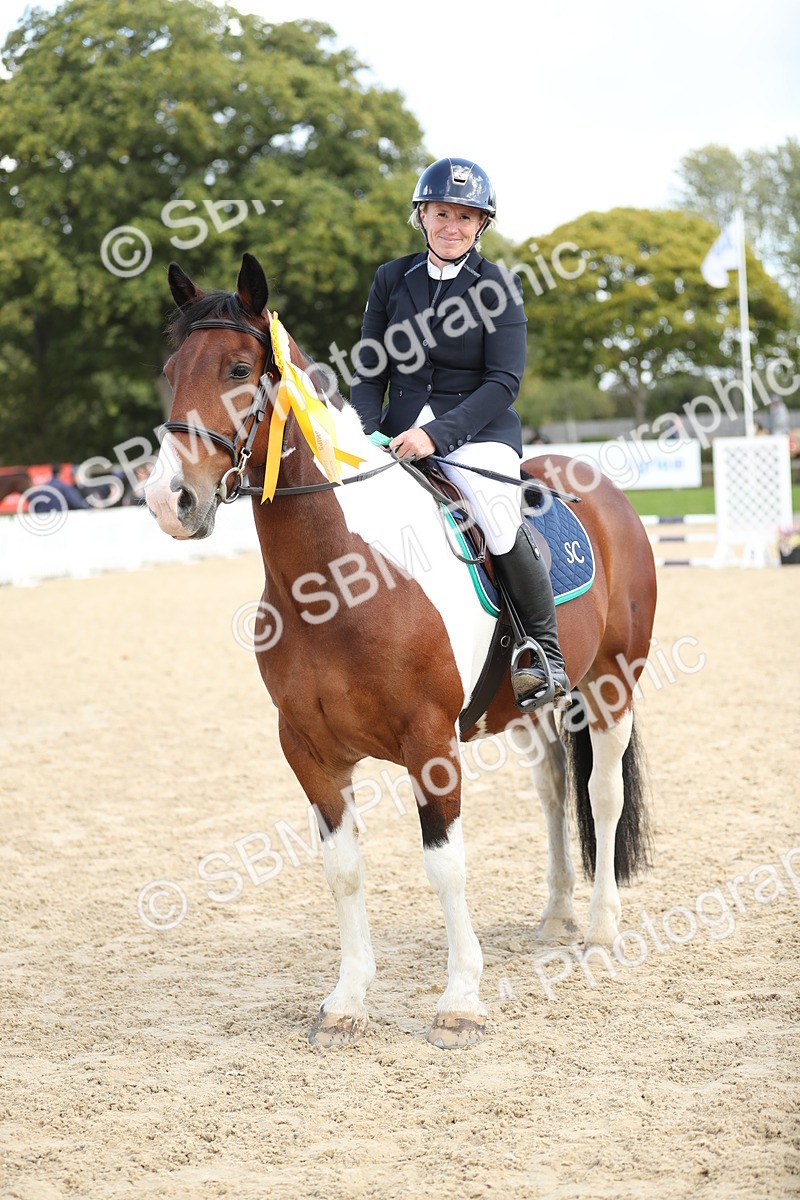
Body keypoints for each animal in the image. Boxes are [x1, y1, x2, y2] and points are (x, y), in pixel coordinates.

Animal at [145, 253, 658, 1050]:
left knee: (602, 793)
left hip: (613, 684)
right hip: (536, 705)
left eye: (238, 369)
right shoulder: (308, 749)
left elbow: (445, 866)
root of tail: (598, 484)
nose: (172, 501)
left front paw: (460, 1001)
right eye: (171, 369)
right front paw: (347, 1002)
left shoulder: (429, 742)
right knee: (553, 792)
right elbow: (344, 869)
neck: (337, 579)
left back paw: (602, 927)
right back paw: (555, 917)